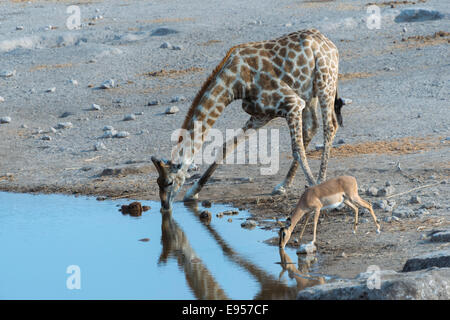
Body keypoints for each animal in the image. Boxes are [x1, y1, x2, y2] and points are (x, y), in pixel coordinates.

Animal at [152, 28, 344, 211]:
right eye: (158, 182)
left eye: (169, 182)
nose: (164, 206)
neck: (234, 82)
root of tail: (330, 44)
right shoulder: (261, 115)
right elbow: (226, 147)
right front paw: (192, 192)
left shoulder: (292, 103)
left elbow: (297, 150)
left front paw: (314, 188)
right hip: (309, 93)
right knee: (312, 126)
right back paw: (282, 186)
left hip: (325, 82)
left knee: (330, 126)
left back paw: (319, 181)